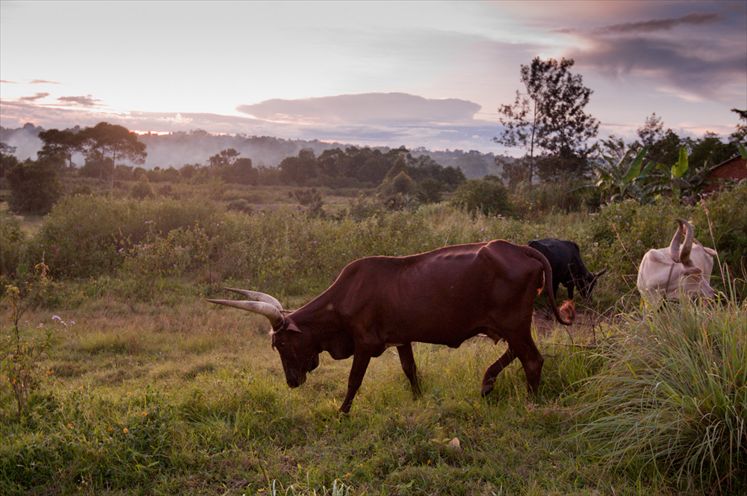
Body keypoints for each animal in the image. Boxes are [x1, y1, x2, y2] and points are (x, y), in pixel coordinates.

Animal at [209, 240, 572, 414]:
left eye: (282, 345)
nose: (291, 382)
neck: (345, 296)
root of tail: (518, 248)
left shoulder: (365, 345)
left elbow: (354, 381)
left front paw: (342, 412)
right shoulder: (402, 339)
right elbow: (411, 371)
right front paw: (419, 399)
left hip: (514, 323)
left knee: (532, 360)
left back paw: (528, 402)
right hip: (512, 325)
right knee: (518, 355)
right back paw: (487, 383)